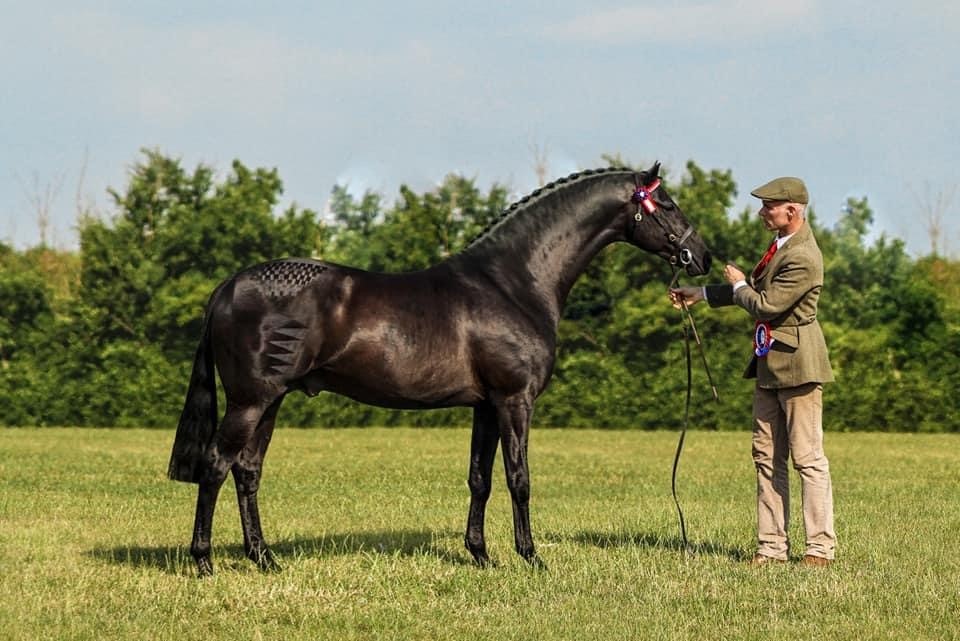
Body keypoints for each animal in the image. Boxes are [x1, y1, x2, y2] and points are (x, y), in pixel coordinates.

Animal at [169, 164, 708, 576]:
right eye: (669, 204)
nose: (701, 256)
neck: (512, 282)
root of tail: (229, 286)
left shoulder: (486, 406)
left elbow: (480, 478)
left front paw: (482, 555)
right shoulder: (514, 399)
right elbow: (519, 478)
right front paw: (531, 557)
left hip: (272, 401)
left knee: (247, 471)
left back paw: (264, 559)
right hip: (250, 401)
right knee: (215, 466)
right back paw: (204, 562)